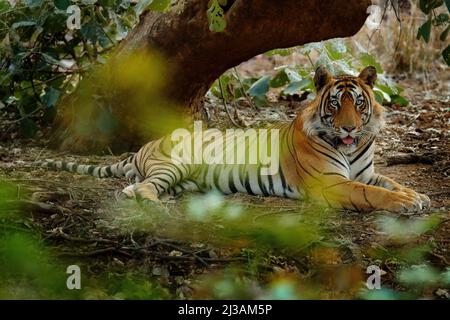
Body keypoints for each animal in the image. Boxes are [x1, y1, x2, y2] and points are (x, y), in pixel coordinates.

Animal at [41, 66, 428, 212]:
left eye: (358, 103)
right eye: (335, 104)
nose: (348, 129)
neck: (352, 146)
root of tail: (143, 147)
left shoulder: (367, 173)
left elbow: (391, 183)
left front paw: (417, 195)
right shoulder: (331, 183)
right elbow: (371, 194)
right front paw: (406, 203)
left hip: (184, 179)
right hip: (171, 166)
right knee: (137, 187)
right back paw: (151, 202)